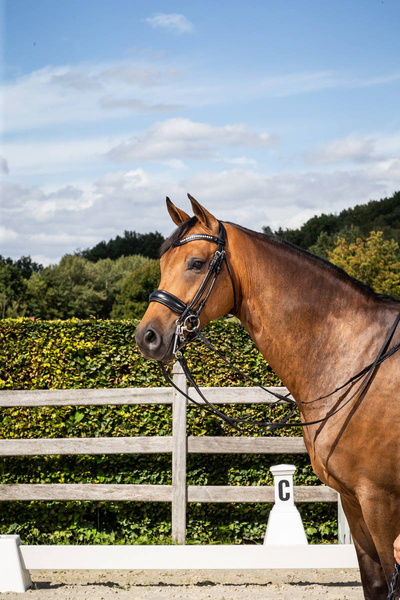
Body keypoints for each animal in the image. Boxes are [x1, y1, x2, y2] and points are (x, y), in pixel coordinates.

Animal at [137, 196, 400, 596]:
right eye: (163, 264)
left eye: (196, 263)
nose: (147, 336)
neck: (354, 354)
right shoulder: (355, 501)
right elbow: (375, 585)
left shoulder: (380, 501)